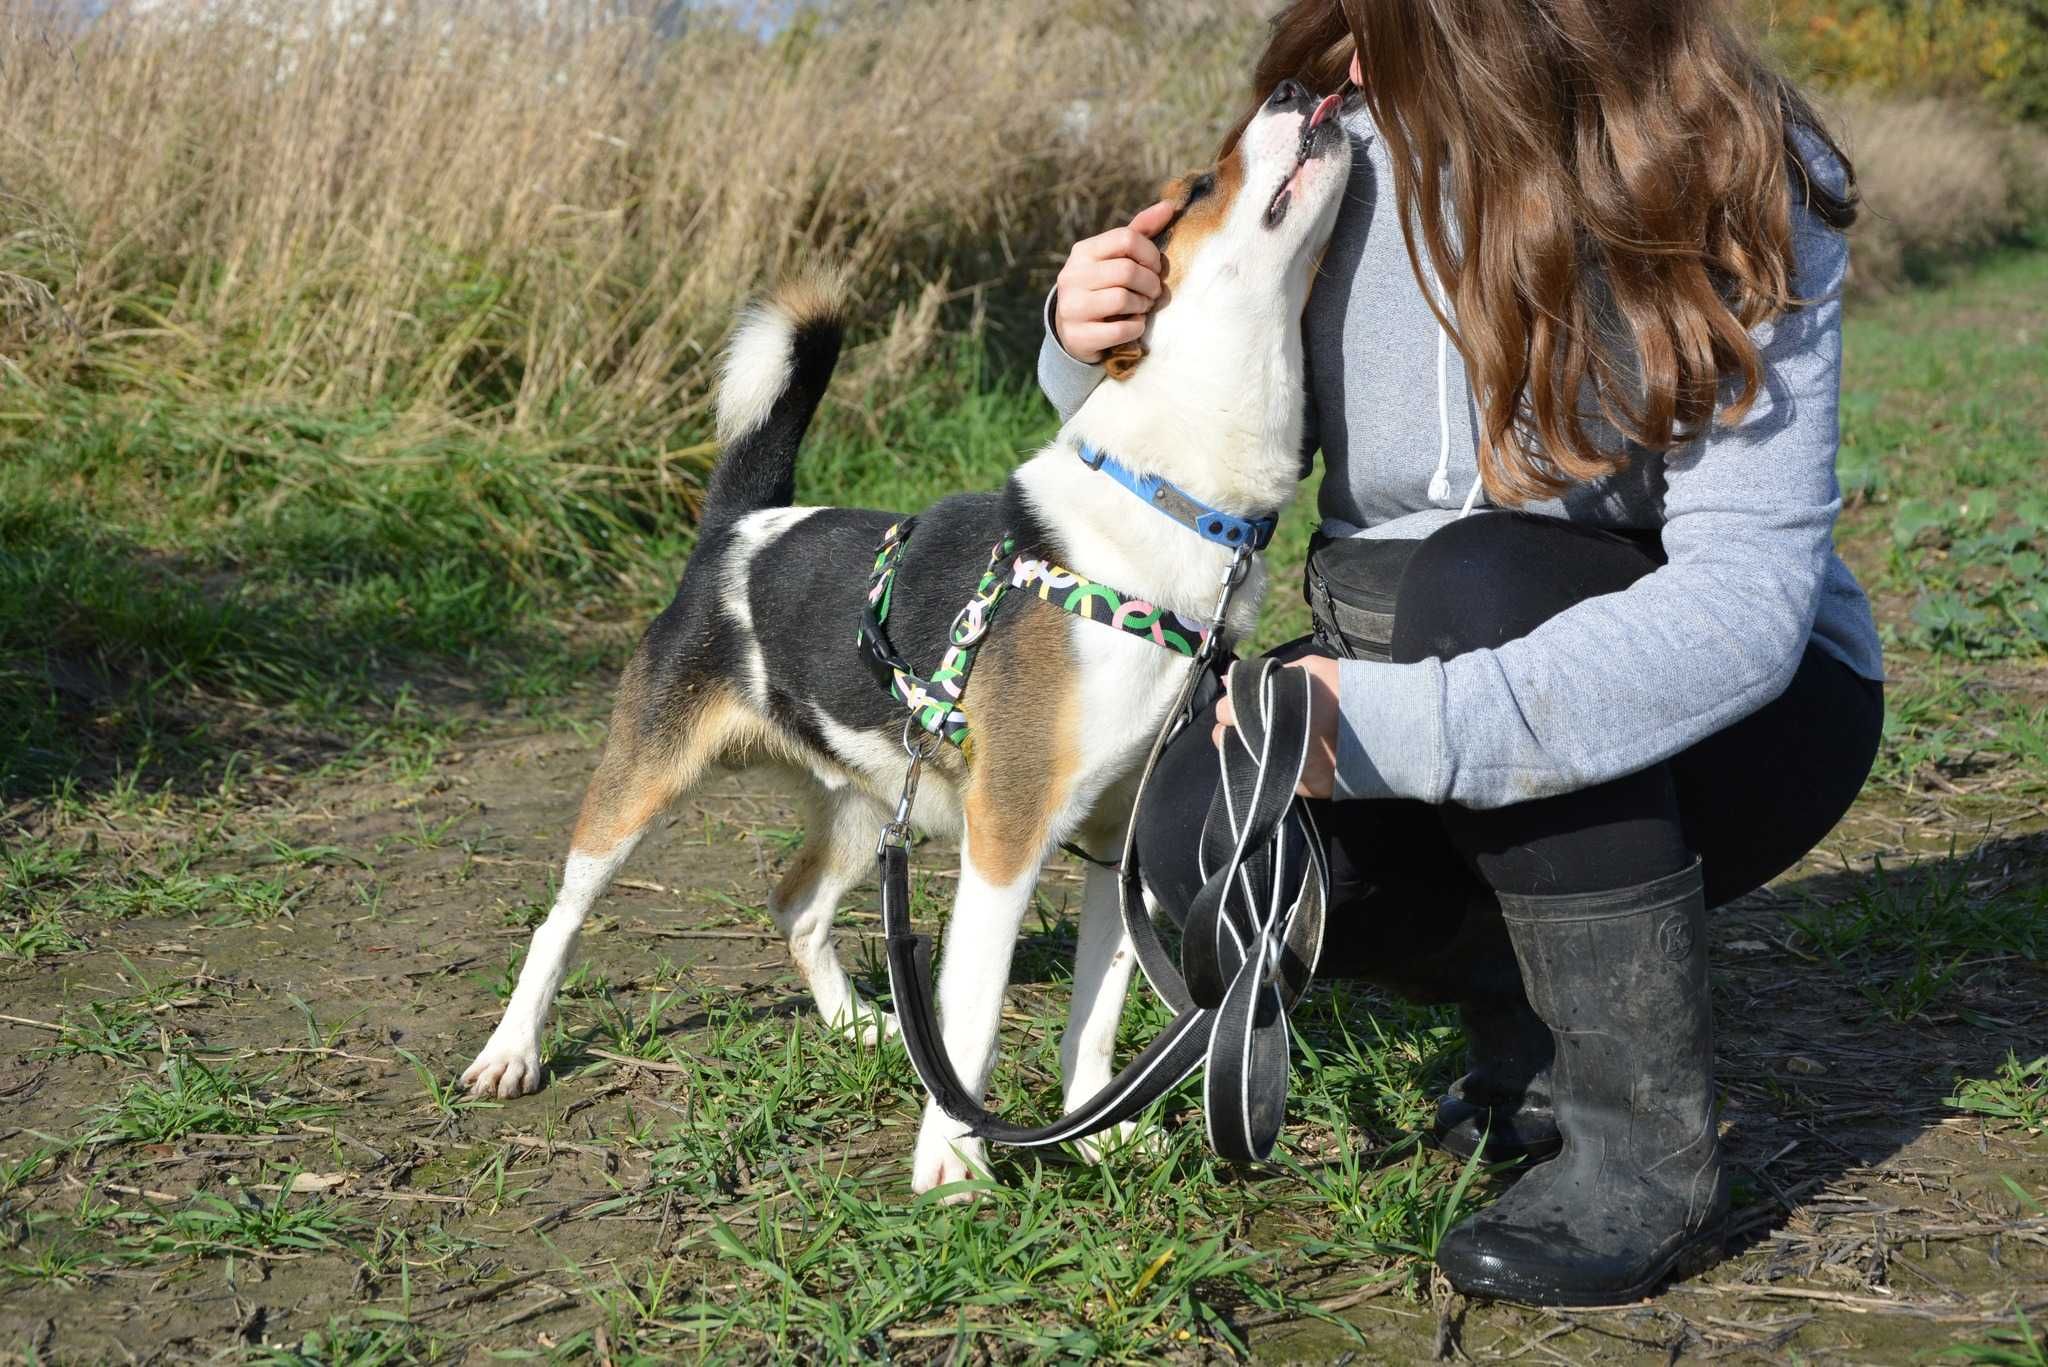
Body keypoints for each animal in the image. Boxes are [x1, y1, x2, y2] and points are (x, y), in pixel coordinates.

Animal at [466, 83, 1359, 1196]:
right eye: (1198, 185)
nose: (1301, 91)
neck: (1179, 506)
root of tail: (736, 526)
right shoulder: (1007, 834)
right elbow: (971, 1018)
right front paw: (955, 1160)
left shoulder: (1116, 839)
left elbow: (1098, 1011)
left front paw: (1091, 1127)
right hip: (642, 782)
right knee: (563, 915)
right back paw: (512, 1048)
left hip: (870, 802)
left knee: (797, 904)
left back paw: (858, 1022)